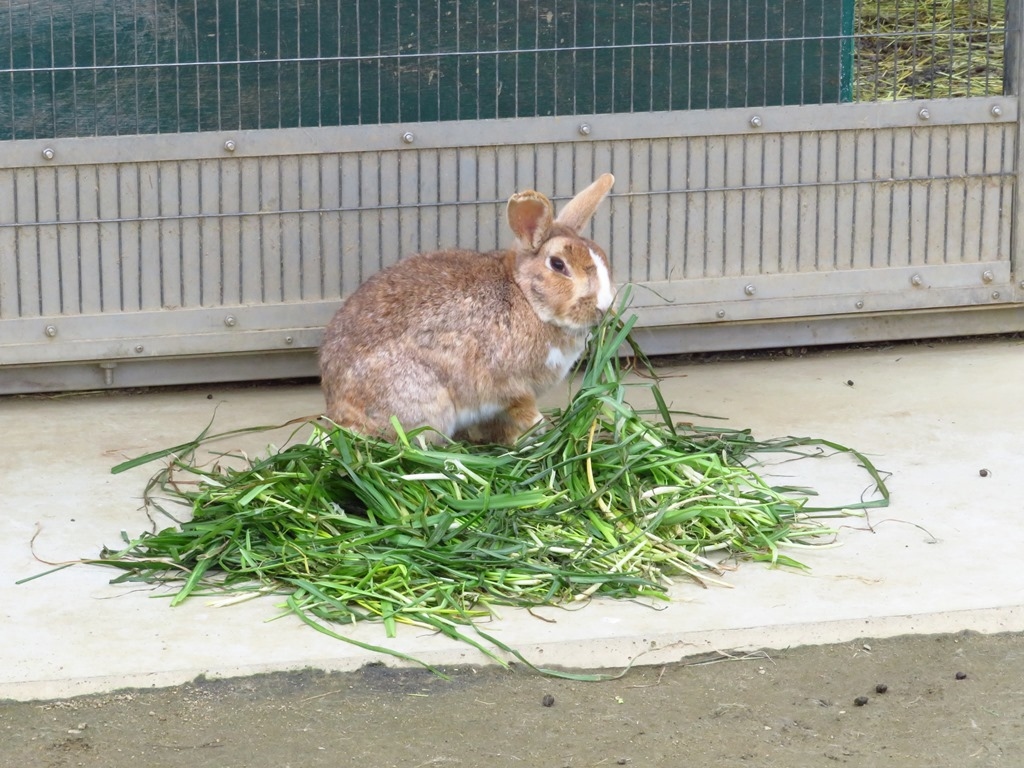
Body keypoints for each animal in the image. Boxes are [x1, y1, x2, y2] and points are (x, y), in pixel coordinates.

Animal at [317, 171, 614, 442]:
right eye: (558, 265)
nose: (604, 307)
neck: (526, 297)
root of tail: (340, 410)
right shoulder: (509, 387)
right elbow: (523, 410)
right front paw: (537, 431)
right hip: (428, 406)